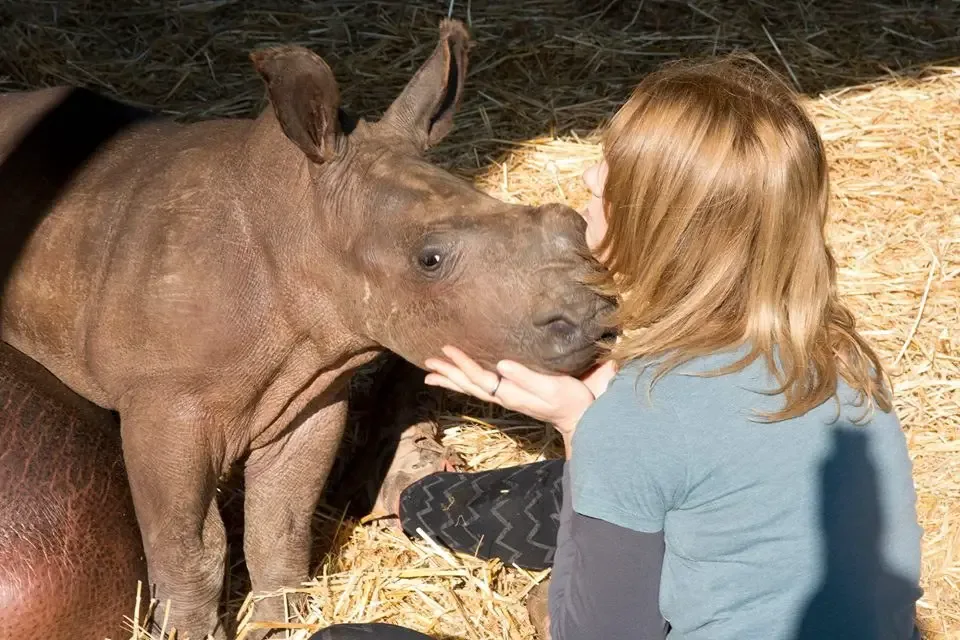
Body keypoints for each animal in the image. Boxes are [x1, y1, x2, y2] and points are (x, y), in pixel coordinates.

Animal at [0, 17, 612, 636]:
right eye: (430, 259)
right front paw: (196, 630)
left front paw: (279, 621)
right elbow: (189, 545)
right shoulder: (165, 401)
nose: (593, 317)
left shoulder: (308, 391)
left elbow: (282, 519)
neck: (297, 221)